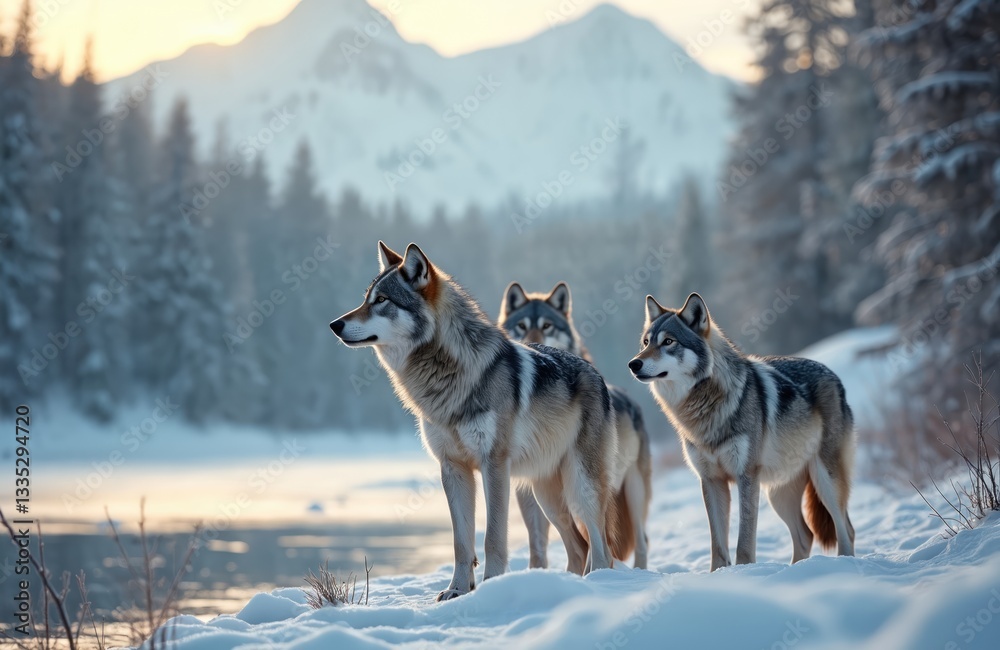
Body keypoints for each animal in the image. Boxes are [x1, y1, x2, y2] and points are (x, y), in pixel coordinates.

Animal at [330, 242, 618, 600]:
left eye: (382, 300)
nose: (334, 324)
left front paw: (491, 587)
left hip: (581, 487)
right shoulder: (452, 468)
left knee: (602, 548)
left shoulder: (494, 466)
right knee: (579, 548)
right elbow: (461, 542)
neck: (447, 377)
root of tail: (597, 374)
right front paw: (456, 590)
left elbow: (492, 537)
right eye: (366, 298)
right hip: (545, 495)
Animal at [499, 281, 652, 570]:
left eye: (547, 326)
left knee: (639, 540)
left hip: (631, 491)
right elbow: (537, 545)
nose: (528, 345)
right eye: (521, 326)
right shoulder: (529, 493)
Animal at [628, 293, 855, 571]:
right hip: (777, 492)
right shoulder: (711, 480)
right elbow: (717, 544)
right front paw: (719, 574)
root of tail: (834, 376)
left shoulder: (746, 476)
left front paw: (744, 571)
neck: (705, 407)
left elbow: (744, 541)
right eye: (646, 342)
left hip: (825, 481)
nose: (633, 363)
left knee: (846, 529)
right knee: (806, 535)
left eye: (668, 342)